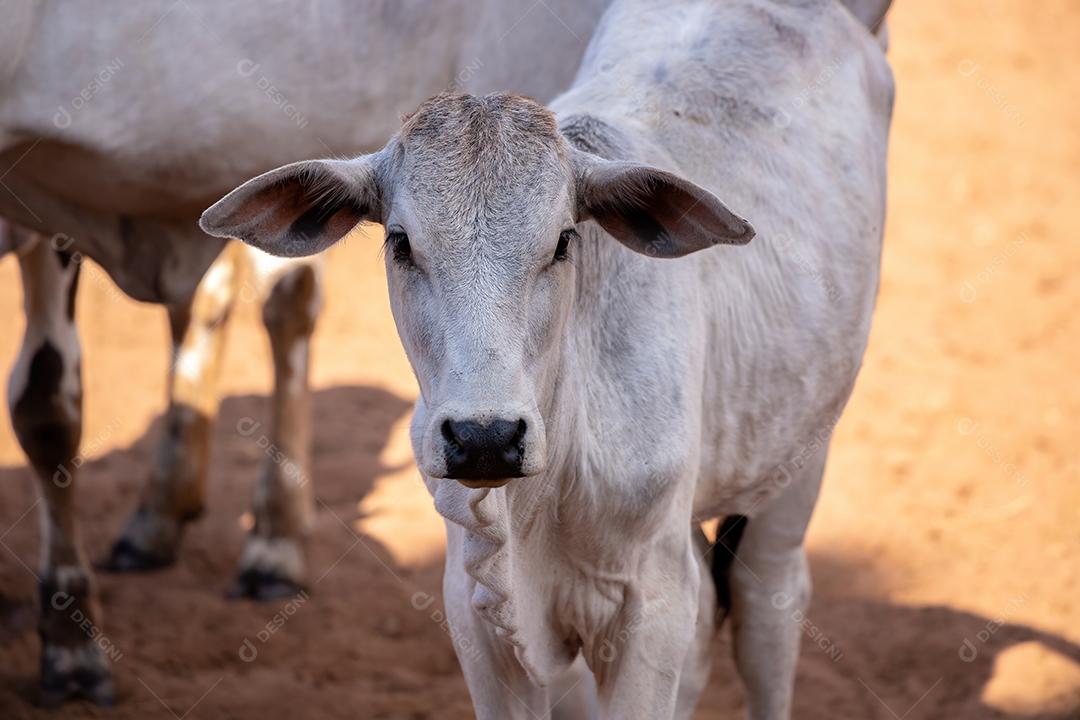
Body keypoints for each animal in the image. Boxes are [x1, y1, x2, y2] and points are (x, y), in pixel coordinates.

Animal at [0, 0, 612, 705]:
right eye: (400, 242)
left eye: (562, 242)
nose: (485, 437)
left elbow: (46, 403)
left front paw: (69, 643)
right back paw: (165, 513)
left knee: (281, 305)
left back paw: (270, 538)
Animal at [203, 0, 894, 717]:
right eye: (400, 243)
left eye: (563, 241)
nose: (485, 437)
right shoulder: (476, 610)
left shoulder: (651, 608)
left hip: (800, 457)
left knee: (769, 607)